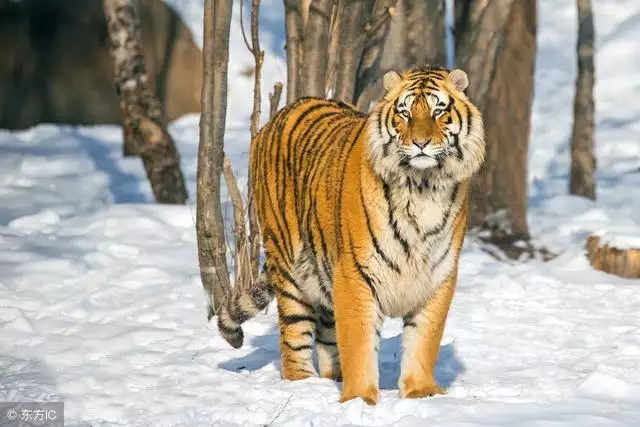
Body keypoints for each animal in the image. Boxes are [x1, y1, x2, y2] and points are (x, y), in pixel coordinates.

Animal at [215, 66, 484, 404]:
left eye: (438, 111)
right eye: (405, 113)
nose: (421, 143)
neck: (422, 185)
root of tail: (277, 117)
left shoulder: (437, 275)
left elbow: (424, 340)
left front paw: (421, 393)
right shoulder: (356, 273)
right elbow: (358, 342)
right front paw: (359, 399)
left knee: (328, 334)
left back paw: (333, 377)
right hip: (289, 267)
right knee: (294, 335)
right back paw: (303, 384)